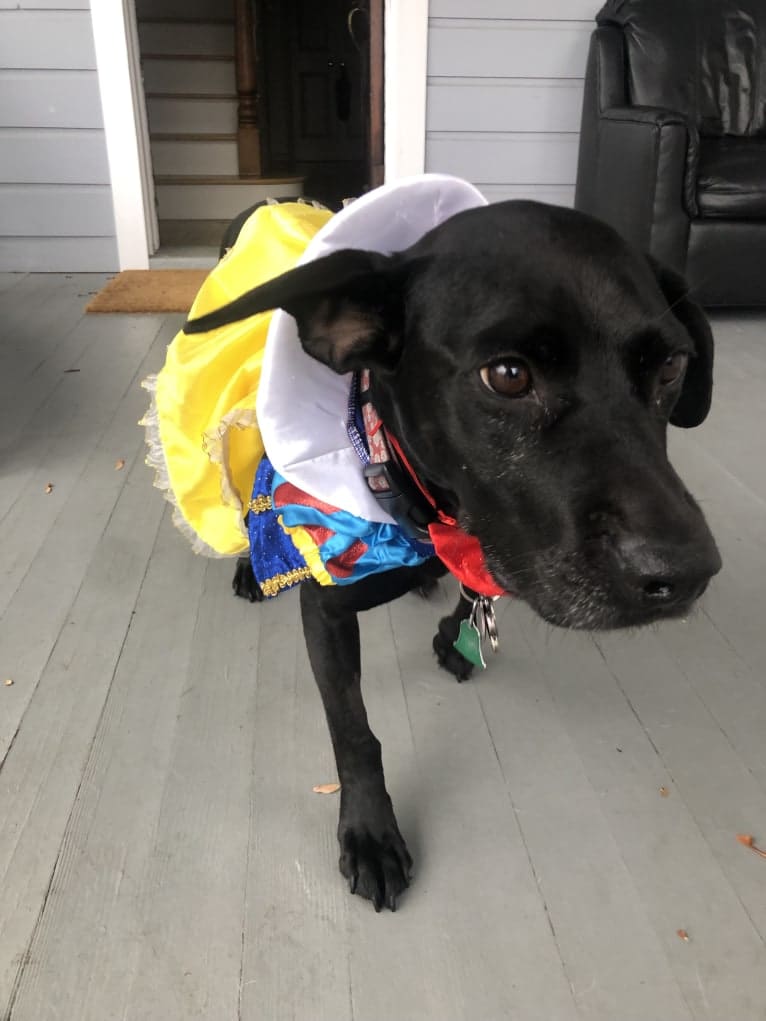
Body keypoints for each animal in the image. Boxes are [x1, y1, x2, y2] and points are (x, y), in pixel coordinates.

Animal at [184, 199, 719, 910]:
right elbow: (354, 732)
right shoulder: (326, 612)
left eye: (671, 367)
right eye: (508, 375)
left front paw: (457, 628)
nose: (687, 573)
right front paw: (370, 833)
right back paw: (251, 563)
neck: (430, 509)